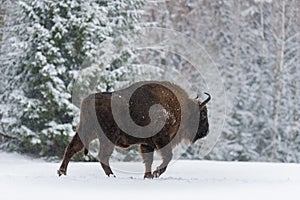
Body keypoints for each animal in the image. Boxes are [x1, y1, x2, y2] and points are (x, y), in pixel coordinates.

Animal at [56, 81, 211, 178]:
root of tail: (89, 100)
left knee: (72, 148)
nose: (206, 132)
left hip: (87, 131)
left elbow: (148, 160)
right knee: (103, 155)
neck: (180, 109)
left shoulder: (147, 144)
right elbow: (167, 157)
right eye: (203, 114)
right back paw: (112, 175)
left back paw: (61, 173)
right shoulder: (162, 139)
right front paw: (155, 173)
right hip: (107, 136)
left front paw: (148, 176)